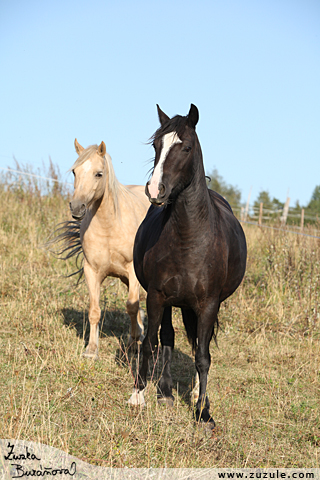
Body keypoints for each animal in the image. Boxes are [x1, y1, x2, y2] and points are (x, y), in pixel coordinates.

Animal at [52, 141, 149, 358]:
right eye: (75, 171)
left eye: (98, 173)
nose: (77, 207)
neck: (109, 226)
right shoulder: (92, 271)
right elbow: (94, 311)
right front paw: (91, 350)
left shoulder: (133, 270)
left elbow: (131, 307)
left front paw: (132, 343)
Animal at [128, 104, 248, 428]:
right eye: (156, 146)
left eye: (187, 147)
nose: (155, 190)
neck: (189, 239)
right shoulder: (157, 296)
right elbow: (151, 342)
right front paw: (139, 395)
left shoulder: (208, 304)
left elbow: (203, 357)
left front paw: (203, 412)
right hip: (173, 302)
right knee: (169, 339)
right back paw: (166, 392)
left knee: (197, 346)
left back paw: (195, 393)